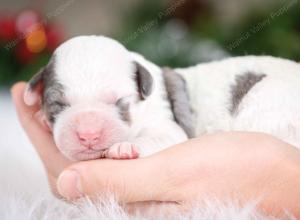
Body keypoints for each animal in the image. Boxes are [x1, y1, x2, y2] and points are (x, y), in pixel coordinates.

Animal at [24, 35, 300, 161]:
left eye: (119, 102)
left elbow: (157, 136)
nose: (88, 135)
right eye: (59, 105)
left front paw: (126, 147)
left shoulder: (168, 127)